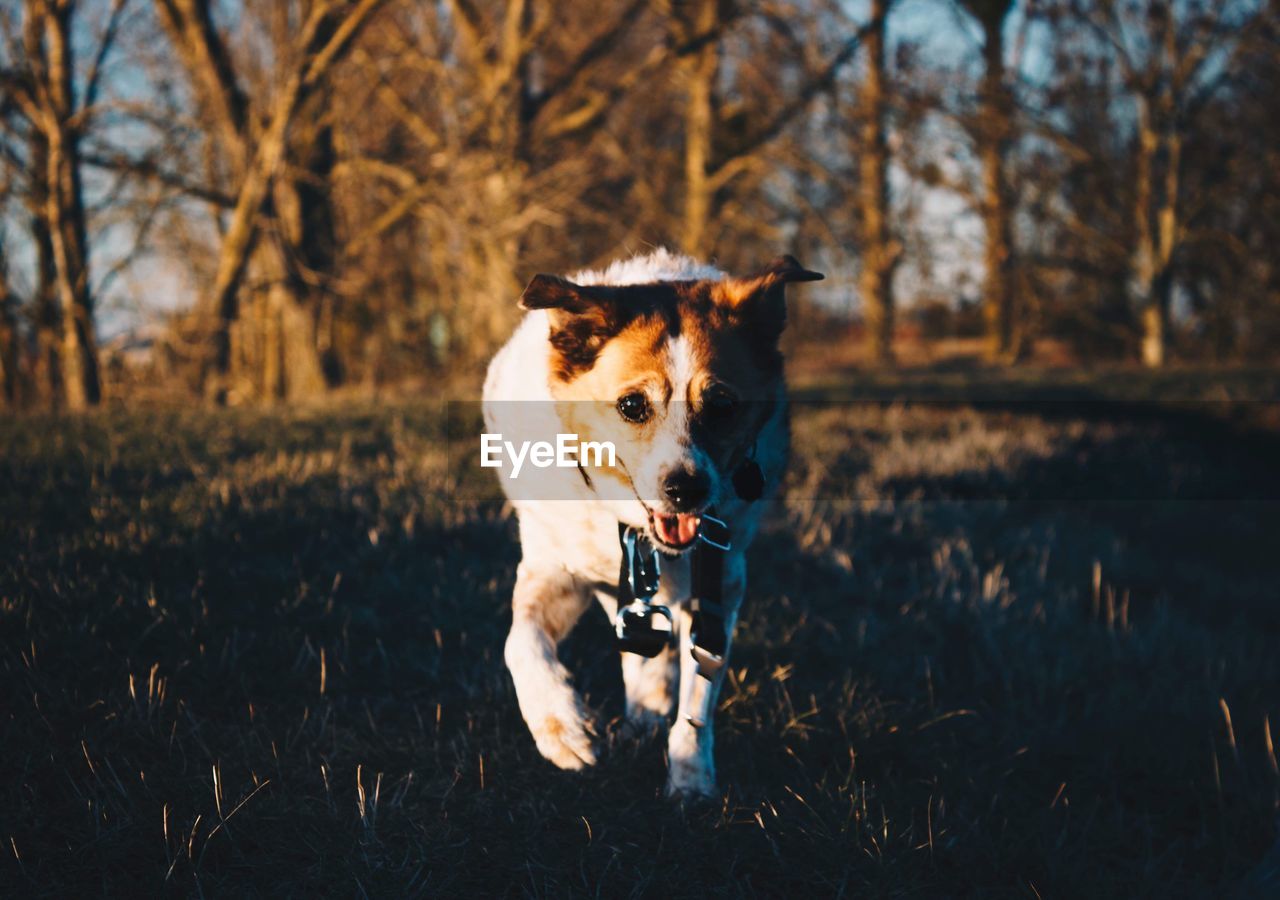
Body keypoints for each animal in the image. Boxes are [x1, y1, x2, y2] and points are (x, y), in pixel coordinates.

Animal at [481, 248, 819, 793]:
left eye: (722, 406)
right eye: (632, 405)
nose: (686, 488)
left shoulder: (720, 585)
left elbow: (698, 689)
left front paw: (690, 776)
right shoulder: (555, 569)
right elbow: (521, 642)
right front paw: (562, 728)